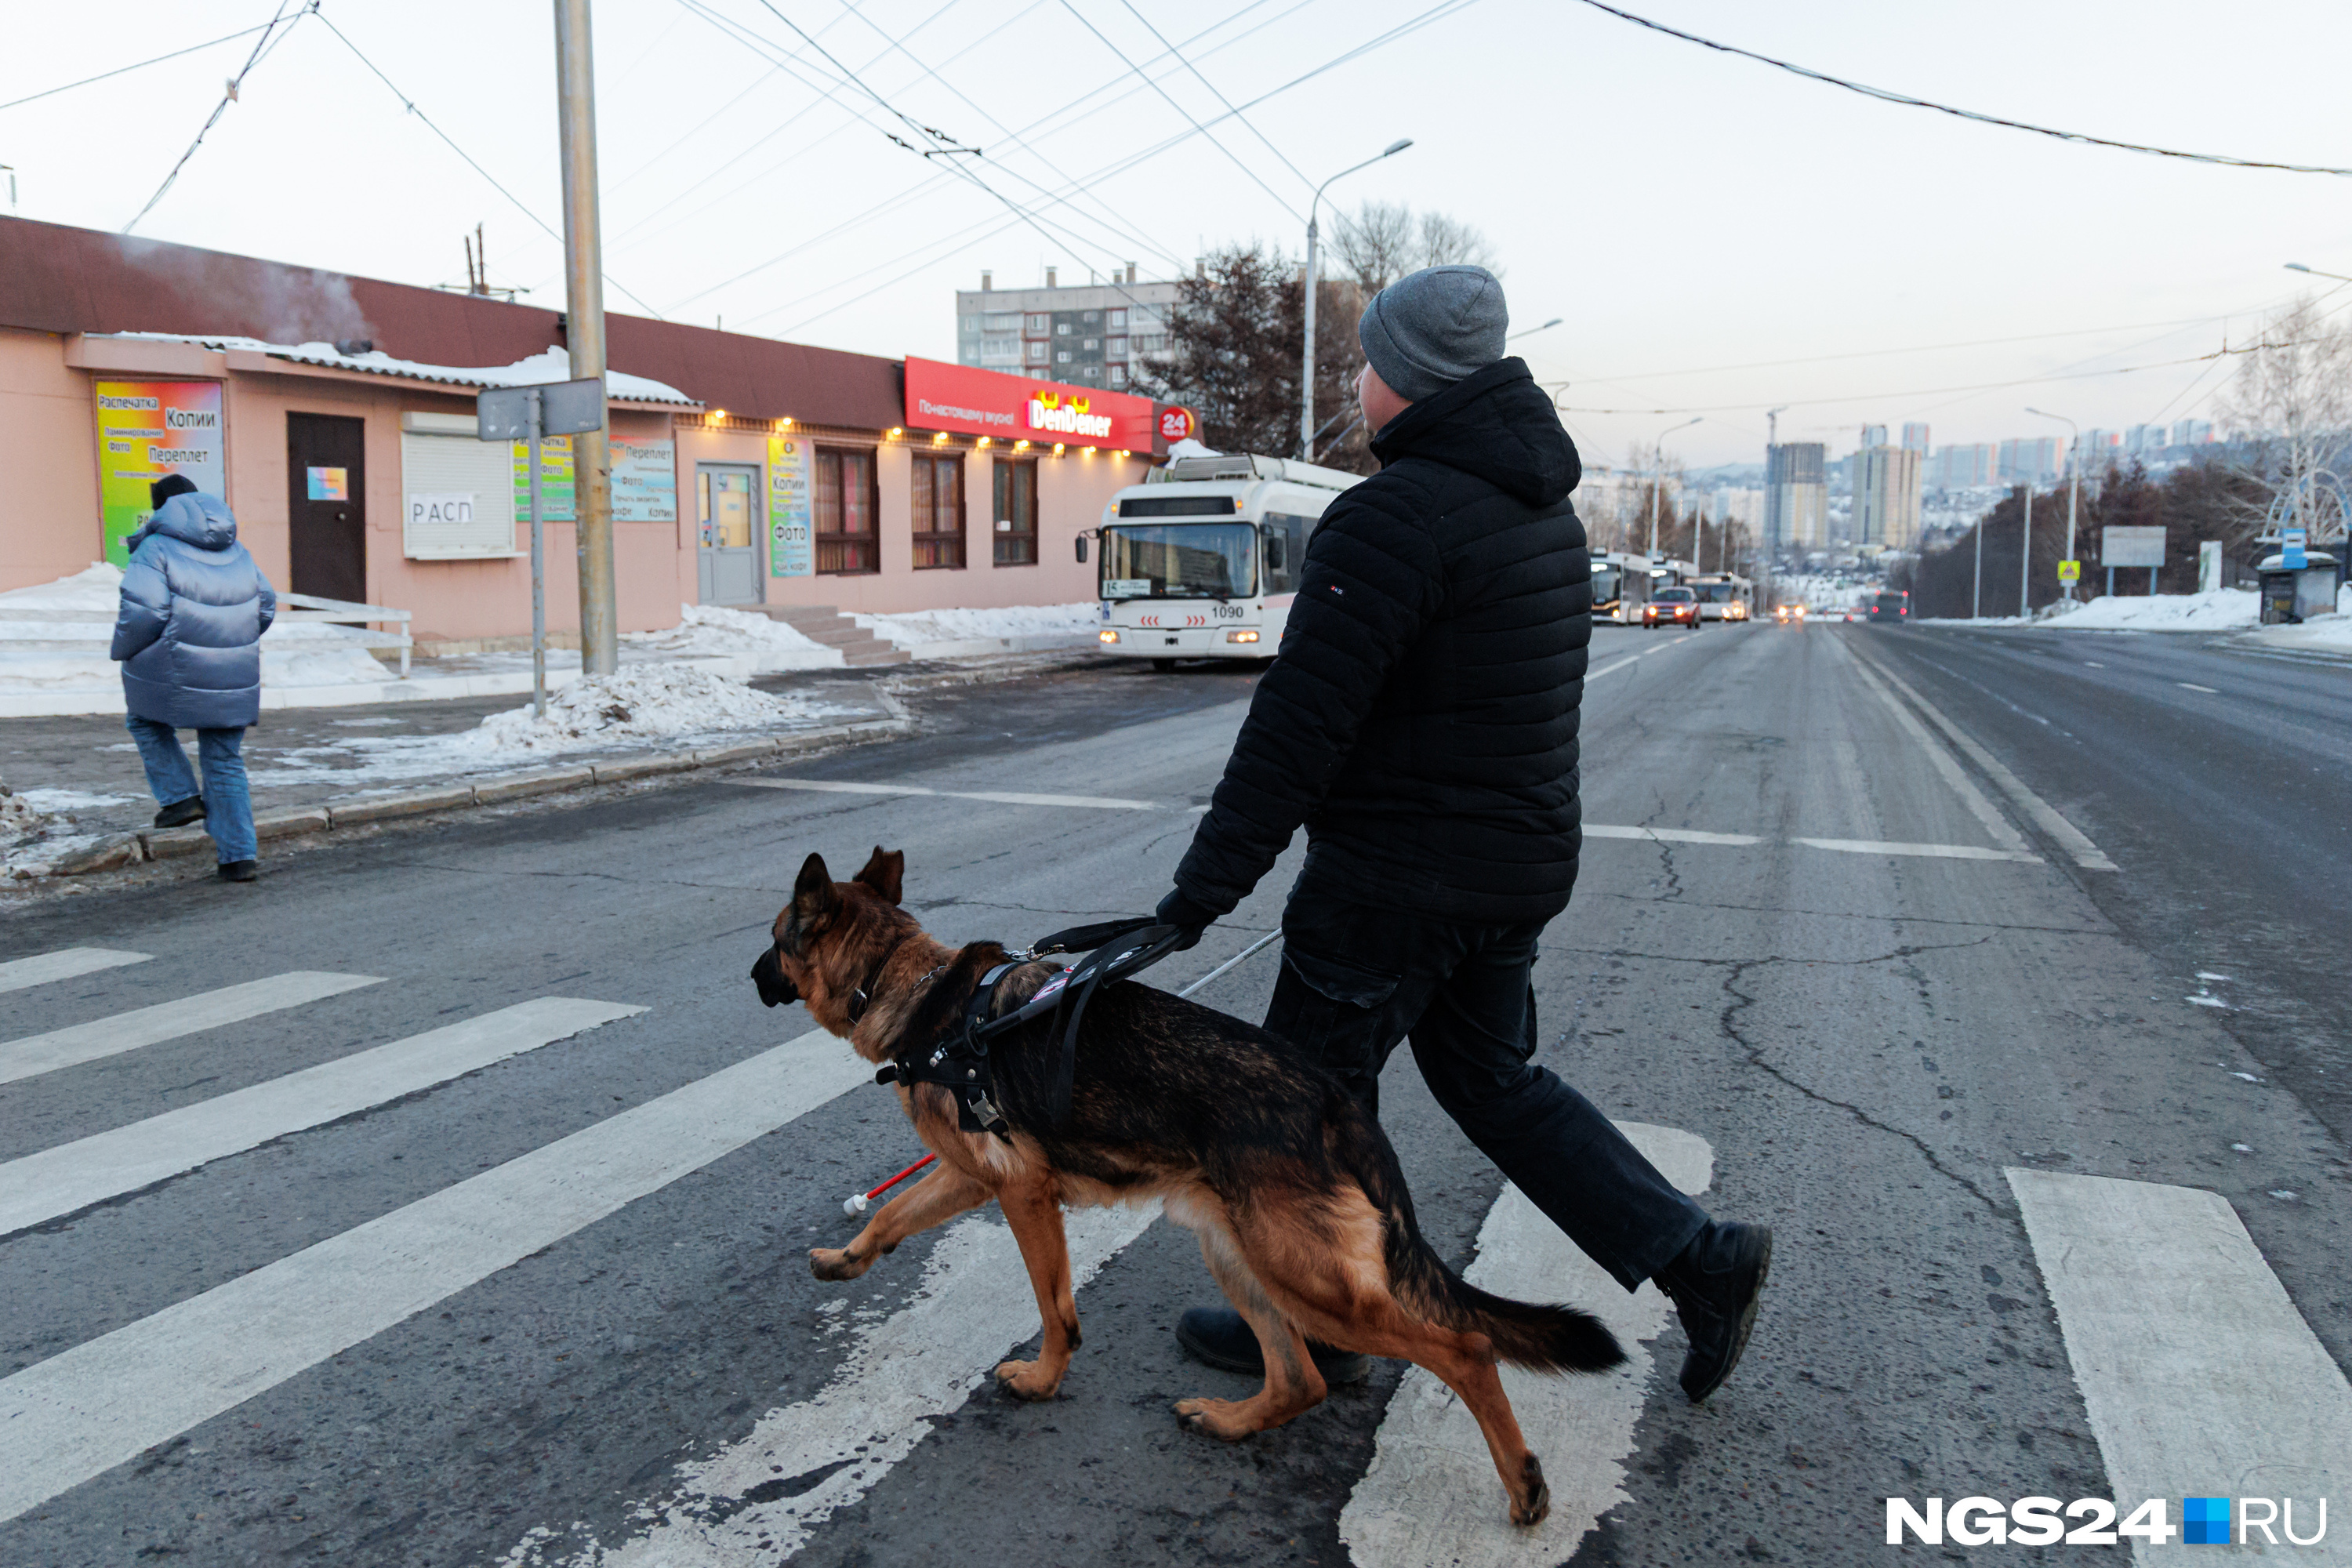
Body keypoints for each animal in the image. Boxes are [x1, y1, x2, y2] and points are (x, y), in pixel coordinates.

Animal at [753, 851, 1618, 1523]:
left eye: (773, 938)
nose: (752, 975)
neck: (911, 983)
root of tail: (1333, 1099)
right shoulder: (974, 1178)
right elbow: (893, 1216)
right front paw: (844, 1259)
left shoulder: (1023, 1195)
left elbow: (1054, 1309)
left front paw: (1042, 1380)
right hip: (1240, 1256)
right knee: (1300, 1378)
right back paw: (1231, 1421)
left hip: (1304, 1277)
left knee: (1464, 1348)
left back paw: (1523, 1483)